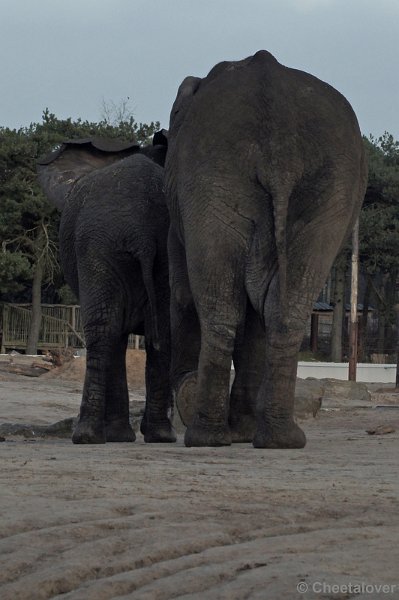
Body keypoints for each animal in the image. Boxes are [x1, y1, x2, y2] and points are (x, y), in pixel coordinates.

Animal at [38, 136, 176, 446]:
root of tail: (142, 233)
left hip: (98, 246)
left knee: (104, 330)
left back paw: (89, 435)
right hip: (142, 249)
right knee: (155, 329)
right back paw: (158, 435)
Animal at [166, 50, 368, 446]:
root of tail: (281, 148)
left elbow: (184, 292)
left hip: (216, 174)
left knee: (222, 304)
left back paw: (207, 434)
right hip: (320, 186)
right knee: (283, 307)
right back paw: (275, 438)